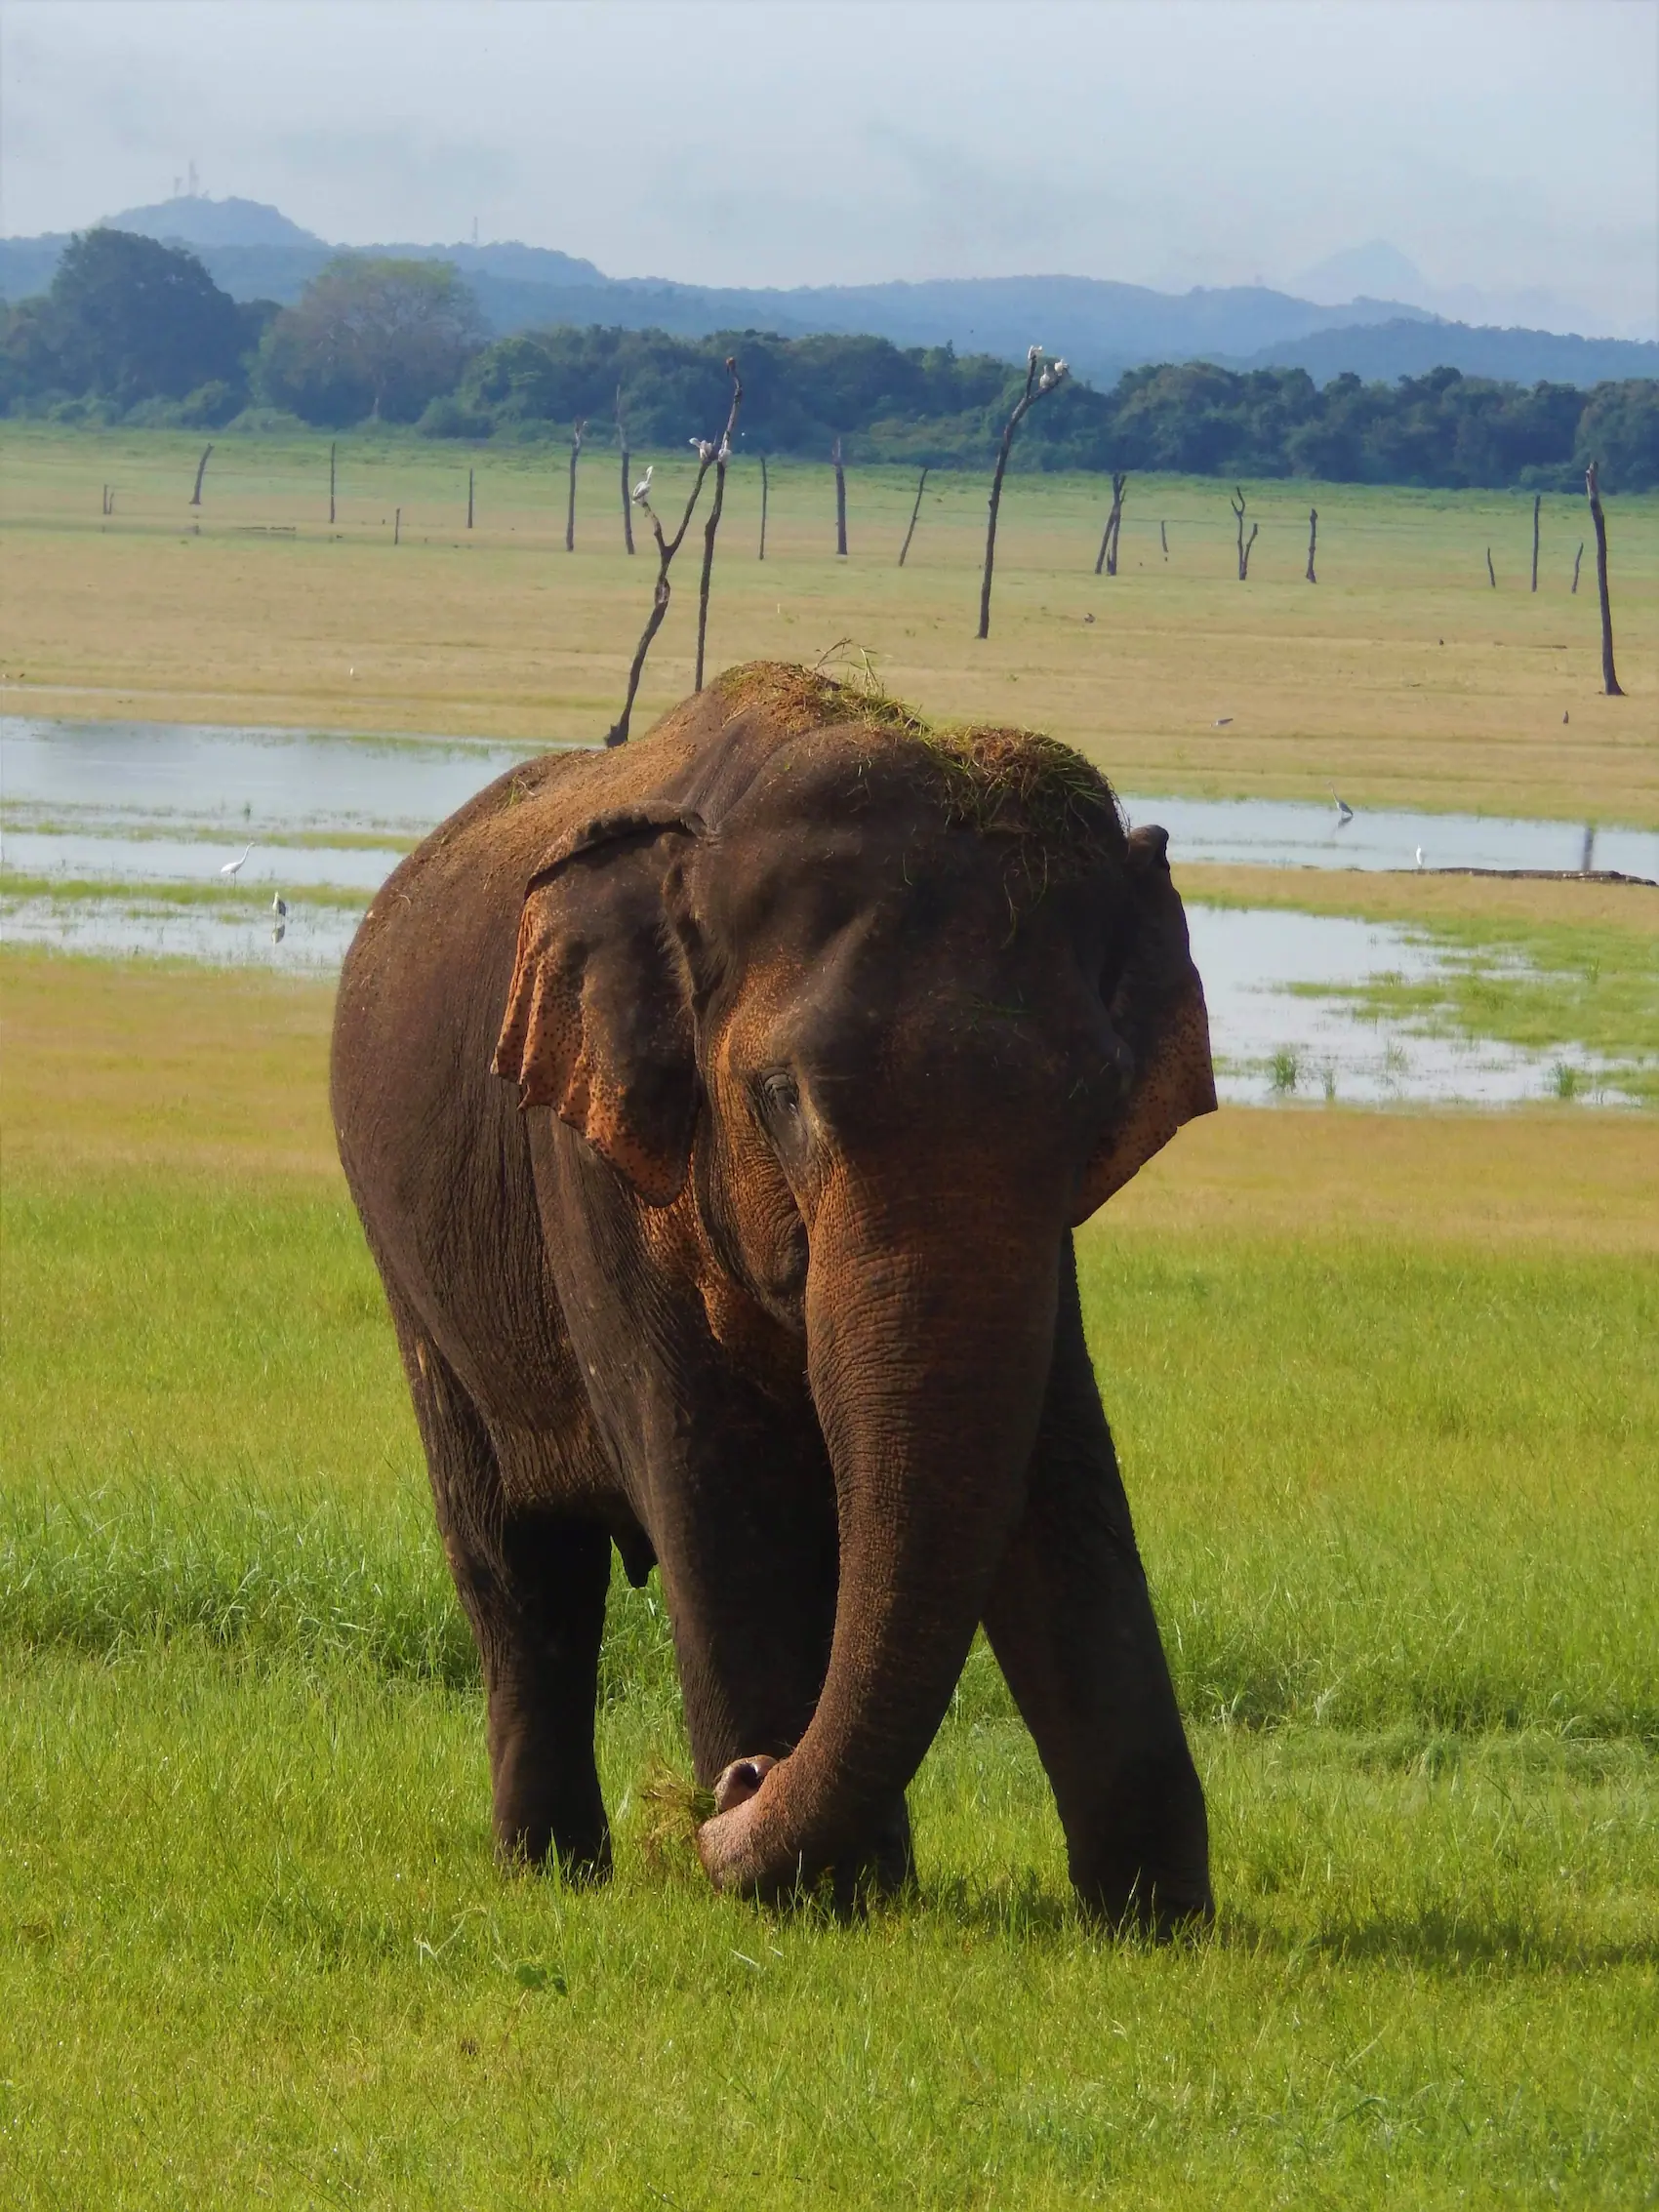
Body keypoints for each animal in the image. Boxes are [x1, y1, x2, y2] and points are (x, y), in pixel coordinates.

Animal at [331, 662, 1217, 1929]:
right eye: (780, 1096)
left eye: (1097, 1103)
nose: (738, 1782)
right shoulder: (591, 1163)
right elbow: (718, 1492)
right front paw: (826, 1898)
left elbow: (1057, 1474)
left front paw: (1154, 1920)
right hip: (411, 1271)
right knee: (518, 1571)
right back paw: (549, 1866)